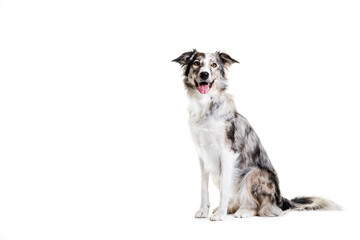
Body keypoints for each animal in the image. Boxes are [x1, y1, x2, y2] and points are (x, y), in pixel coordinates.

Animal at [172, 49, 340, 221]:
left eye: (213, 65)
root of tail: (280, 200)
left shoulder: (227, 153)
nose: (204, 74)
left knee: (262, 208)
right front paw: (203, 210)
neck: (205, 105)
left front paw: (220, 214)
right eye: (196, 63)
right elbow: (203, 188)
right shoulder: (202, 154)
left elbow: (225, 189)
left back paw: (244, 211)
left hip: (253, 173)